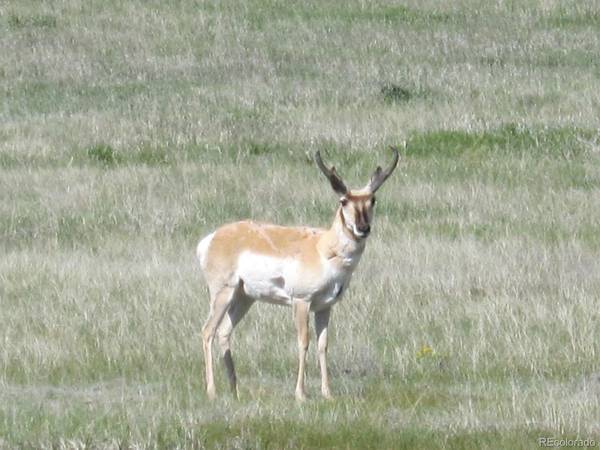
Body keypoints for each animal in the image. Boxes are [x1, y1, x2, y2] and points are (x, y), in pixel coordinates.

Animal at [197, 148, 400, 400]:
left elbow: (323, 345)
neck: (322, 248)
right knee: (207, 332)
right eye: (343, 201)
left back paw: (235, 391)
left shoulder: (324, 307)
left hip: (244, 298)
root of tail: (213, 237)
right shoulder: (301, 302)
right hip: (223, 293)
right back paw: (212, 391)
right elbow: (304, 342)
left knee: (224, 332)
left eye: (372, 200)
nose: (363, 228)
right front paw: (301, 394)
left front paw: (327, 393)